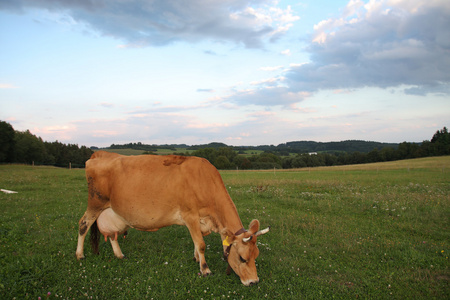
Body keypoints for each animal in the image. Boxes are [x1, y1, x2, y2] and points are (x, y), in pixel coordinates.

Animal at [75, 151, 268, 284]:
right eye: (242, 258)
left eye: (256, 255)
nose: (254, 282)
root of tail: (101, 154)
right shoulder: (190, 214)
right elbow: (201, 244)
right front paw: (205, 269)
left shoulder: (198, 220)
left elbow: (196, 242)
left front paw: (196, 259)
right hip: (95, 203)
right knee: (83, 224)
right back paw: (80, 254)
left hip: (112, 211)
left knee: (112, 233)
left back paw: (119, 254)